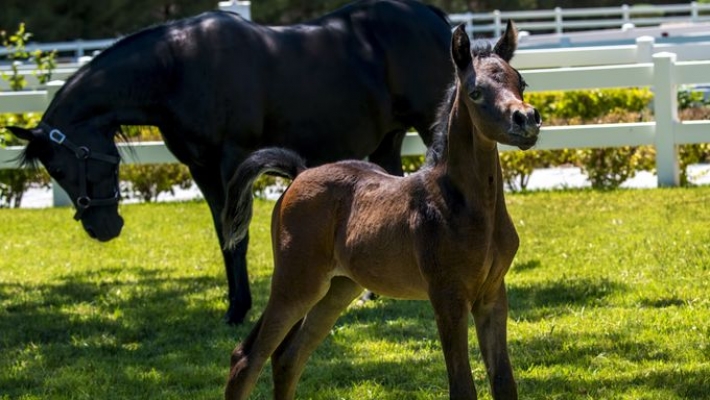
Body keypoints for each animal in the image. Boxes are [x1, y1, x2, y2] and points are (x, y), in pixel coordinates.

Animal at [8, 0, 454, 324]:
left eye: (62, 167)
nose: (103, 228)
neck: (177, 69)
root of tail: (431, 17)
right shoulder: (201, 169)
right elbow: (225, 234)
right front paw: (234, 305)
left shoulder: (232, 161)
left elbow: (239, 235)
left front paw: (239, 310)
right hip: (387, 142)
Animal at [222, 21, 540, 400]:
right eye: (475, 92)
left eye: (521, 82)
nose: (526, 119)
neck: (470, 207)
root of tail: (299, 173)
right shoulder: (448, 296)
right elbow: (462, 387)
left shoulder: (492, 295)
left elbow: (504, 381)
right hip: (296, 282)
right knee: (247, 357)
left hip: (337, 288)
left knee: (287, 357)